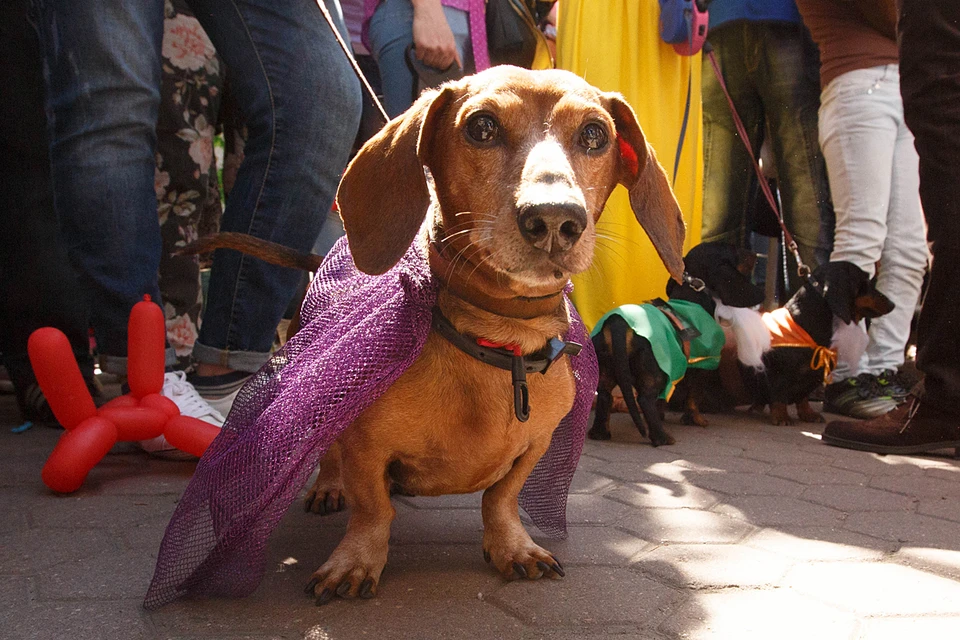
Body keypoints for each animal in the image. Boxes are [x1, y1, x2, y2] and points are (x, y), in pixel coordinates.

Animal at [588, 242, 760, 448]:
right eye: (734, 249)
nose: (755, 254)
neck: (692, 299)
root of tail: (618, 323)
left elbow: (664, 401)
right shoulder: (702, 364)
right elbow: (693, 396)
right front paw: (696, 420)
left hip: (607, 370)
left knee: (605, 396)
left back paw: (600, 433)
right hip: (654, 373)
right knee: (645, 400)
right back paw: (662, 437)